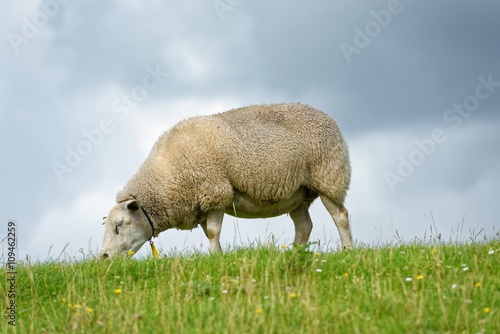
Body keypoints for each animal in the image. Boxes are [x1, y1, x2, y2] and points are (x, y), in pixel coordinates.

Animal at [100, 103, 352, 258]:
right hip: (297, 193)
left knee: (340, 215)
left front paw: (215, 257)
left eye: (119, 225)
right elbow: (209, 233)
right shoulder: (200, 204)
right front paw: (217, 256)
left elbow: (213, 232)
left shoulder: (215, 193)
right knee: (304, 225)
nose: (103, 257)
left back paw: (348, 250)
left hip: (329, 176)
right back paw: (294, 253)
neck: (167, 176)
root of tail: (327, 117)